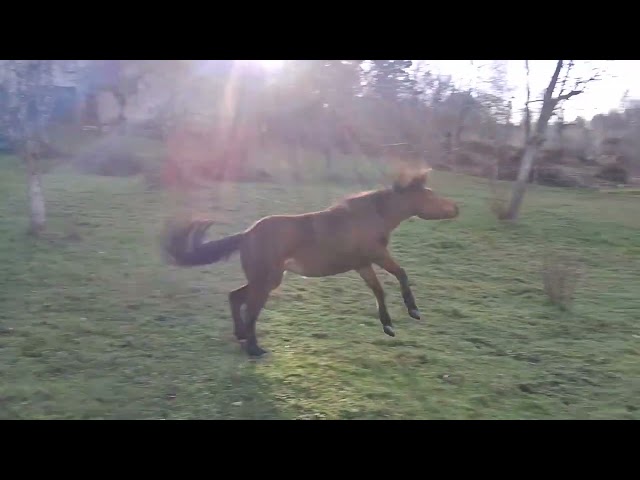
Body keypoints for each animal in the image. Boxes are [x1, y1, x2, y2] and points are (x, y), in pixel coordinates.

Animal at [162, 168, 460, 358]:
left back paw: (242, 337)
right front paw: (413, 311)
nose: (457, 208)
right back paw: (254, 350)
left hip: (268, 280)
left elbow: (379, 290)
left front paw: (388, 325)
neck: (372, 216)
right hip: (266, 281)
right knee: (251, 310)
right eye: (430, 195)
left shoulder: (362, 264)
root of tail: (246, 234)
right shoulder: (376, 256)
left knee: (236, 298)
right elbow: (401, 274)